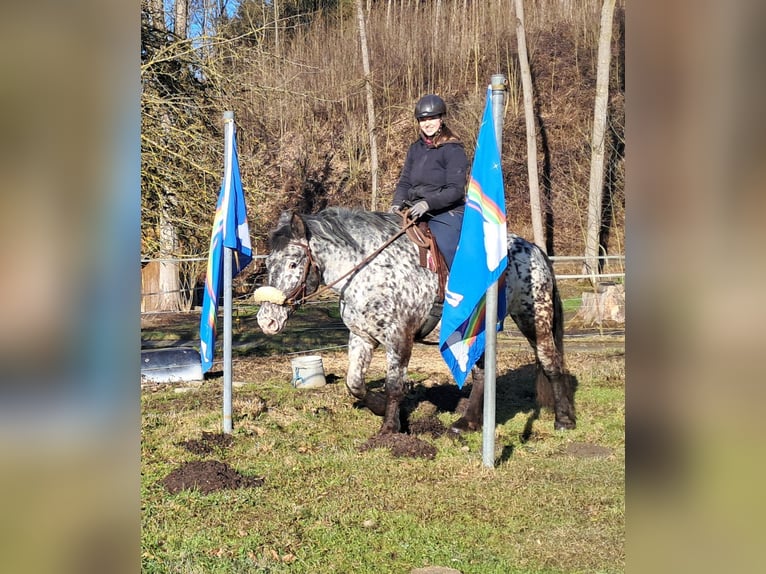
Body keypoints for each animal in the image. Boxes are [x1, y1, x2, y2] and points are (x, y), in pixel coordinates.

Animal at [255, 207, 580, 436]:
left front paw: (389, 429)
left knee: (551, 363)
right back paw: (467, 422)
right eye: (268, 263)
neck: (370, 271)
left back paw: (564, 420)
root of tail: (534, 250)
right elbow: (354, 383)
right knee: (481, 373)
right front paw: (377, 408)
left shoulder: (400, 339)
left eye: (294, 263)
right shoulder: (361, 337)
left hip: (534, 319)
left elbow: (393, 385)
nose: (267, 321)